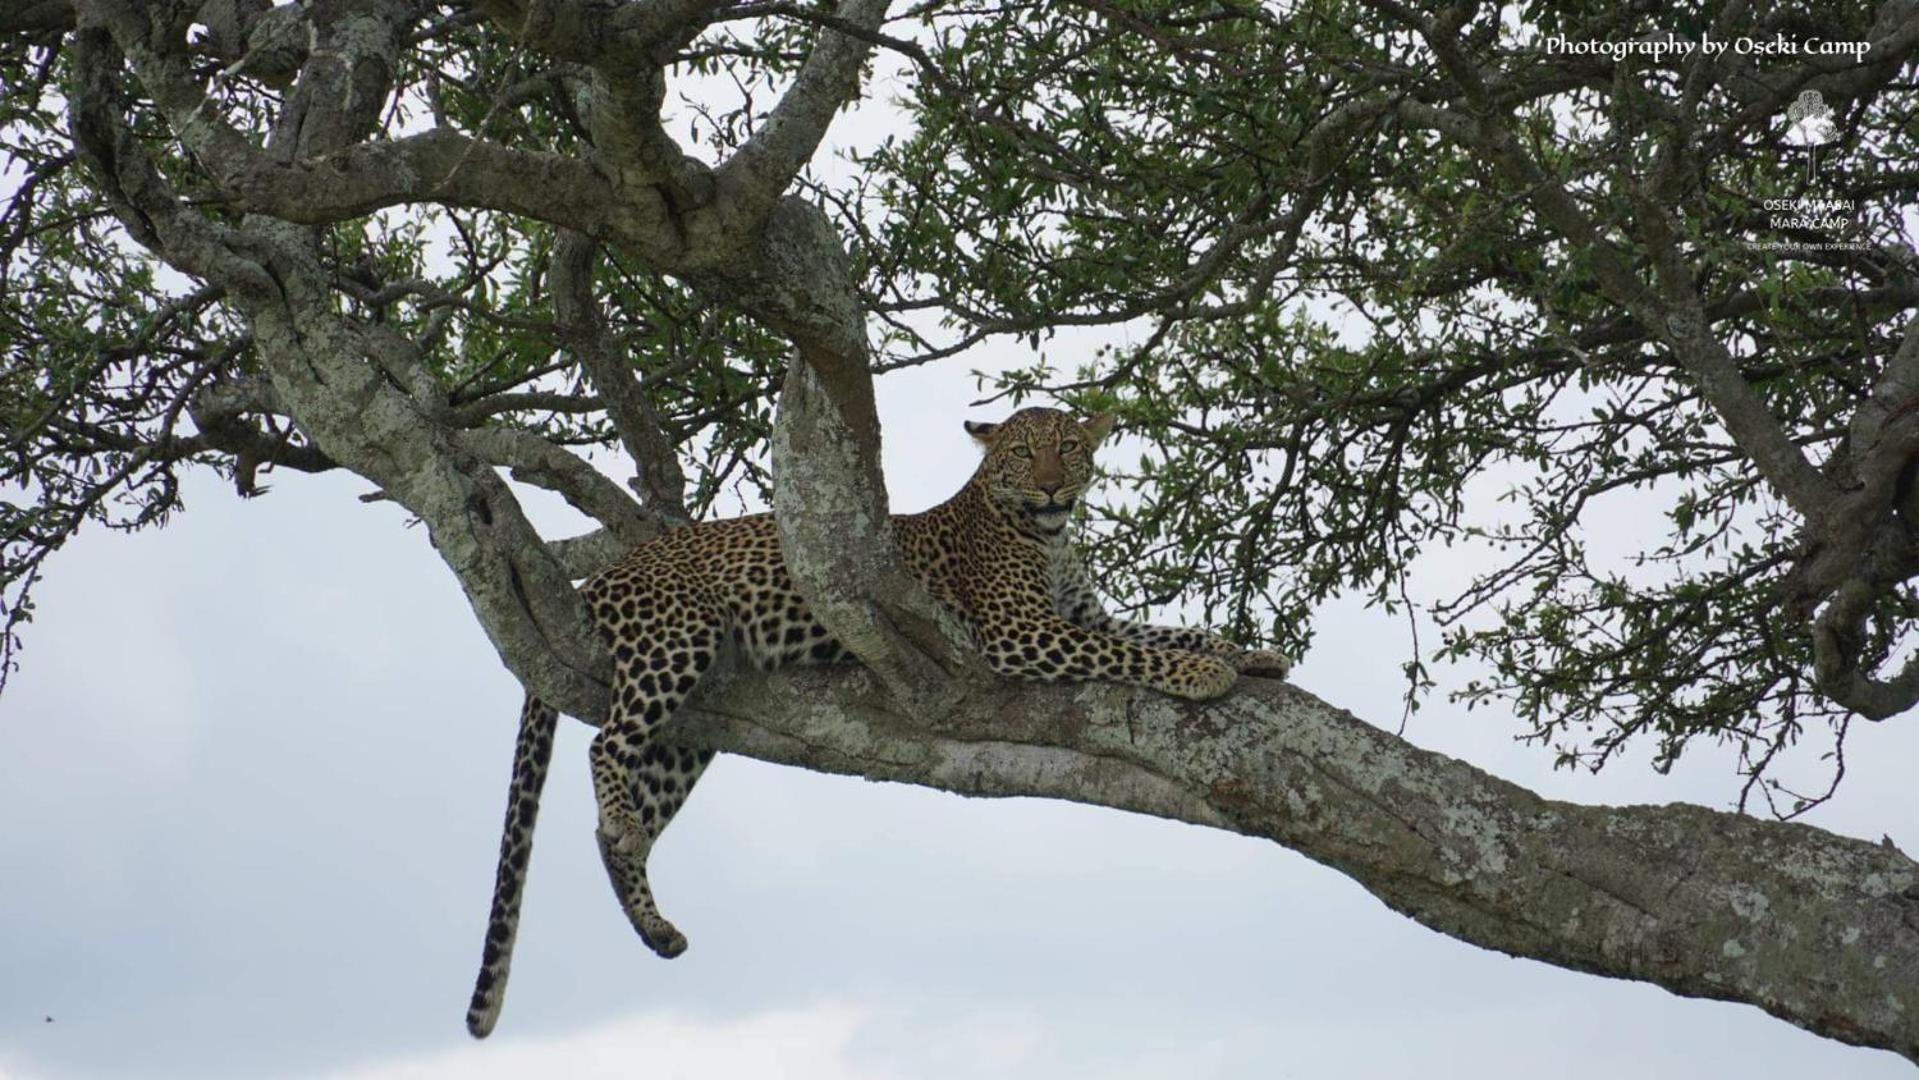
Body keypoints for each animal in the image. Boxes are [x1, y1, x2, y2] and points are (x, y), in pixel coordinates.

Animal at [462, 408, 1289, 1035]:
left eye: (1071, 448)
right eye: (1023, 454)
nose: (1054, 484)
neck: (1048, 538)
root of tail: (604, 574)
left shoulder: (1086, 614)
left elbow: (1169, 630)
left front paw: (1249, 654)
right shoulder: (1022, 632)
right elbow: (1134, 653)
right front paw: (1203, 675)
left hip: (688, 733)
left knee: (617, 820)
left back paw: (653, 922)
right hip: (676, 641)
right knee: (604, 745)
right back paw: (626, 830)